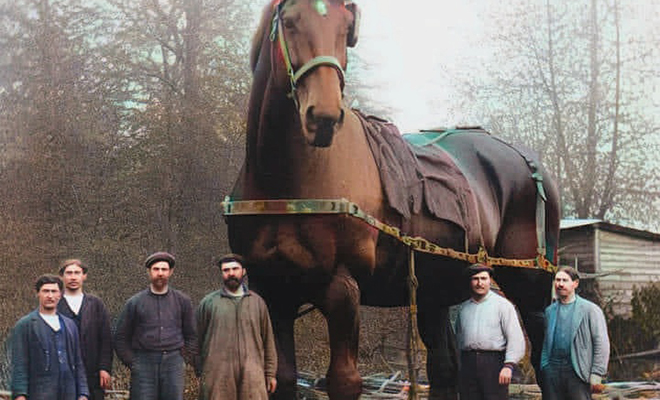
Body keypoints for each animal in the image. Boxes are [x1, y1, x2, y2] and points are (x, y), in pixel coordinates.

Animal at [224, 0, 560, 400]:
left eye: (347, 29)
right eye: (289, 23)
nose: (323, 116)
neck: (284, 184)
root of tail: (530, 162)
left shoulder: (342, 287)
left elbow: (344, 380)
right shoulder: (273, 290)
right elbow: (283, 378)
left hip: (530, 289)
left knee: (545, 363)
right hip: (435, 292)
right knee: (445, 371)